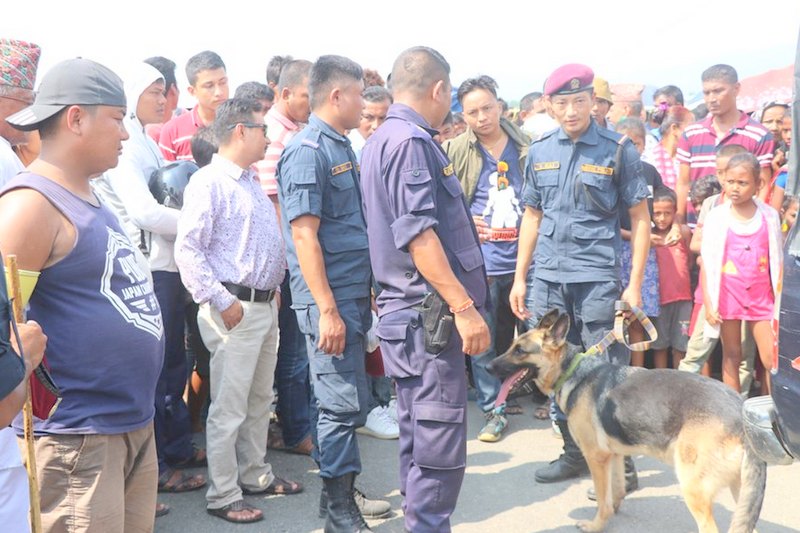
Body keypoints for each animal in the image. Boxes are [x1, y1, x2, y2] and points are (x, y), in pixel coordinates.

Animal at [488, 310, 768, 528]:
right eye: (511, 346)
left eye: (520, 351)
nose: (488, 367)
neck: (573, 371)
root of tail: (740, 411)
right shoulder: (614, 454)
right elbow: (617, 490)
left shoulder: (596, 457)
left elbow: (602, 500)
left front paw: (595, 525)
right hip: (741, 492)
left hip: (694, 489)